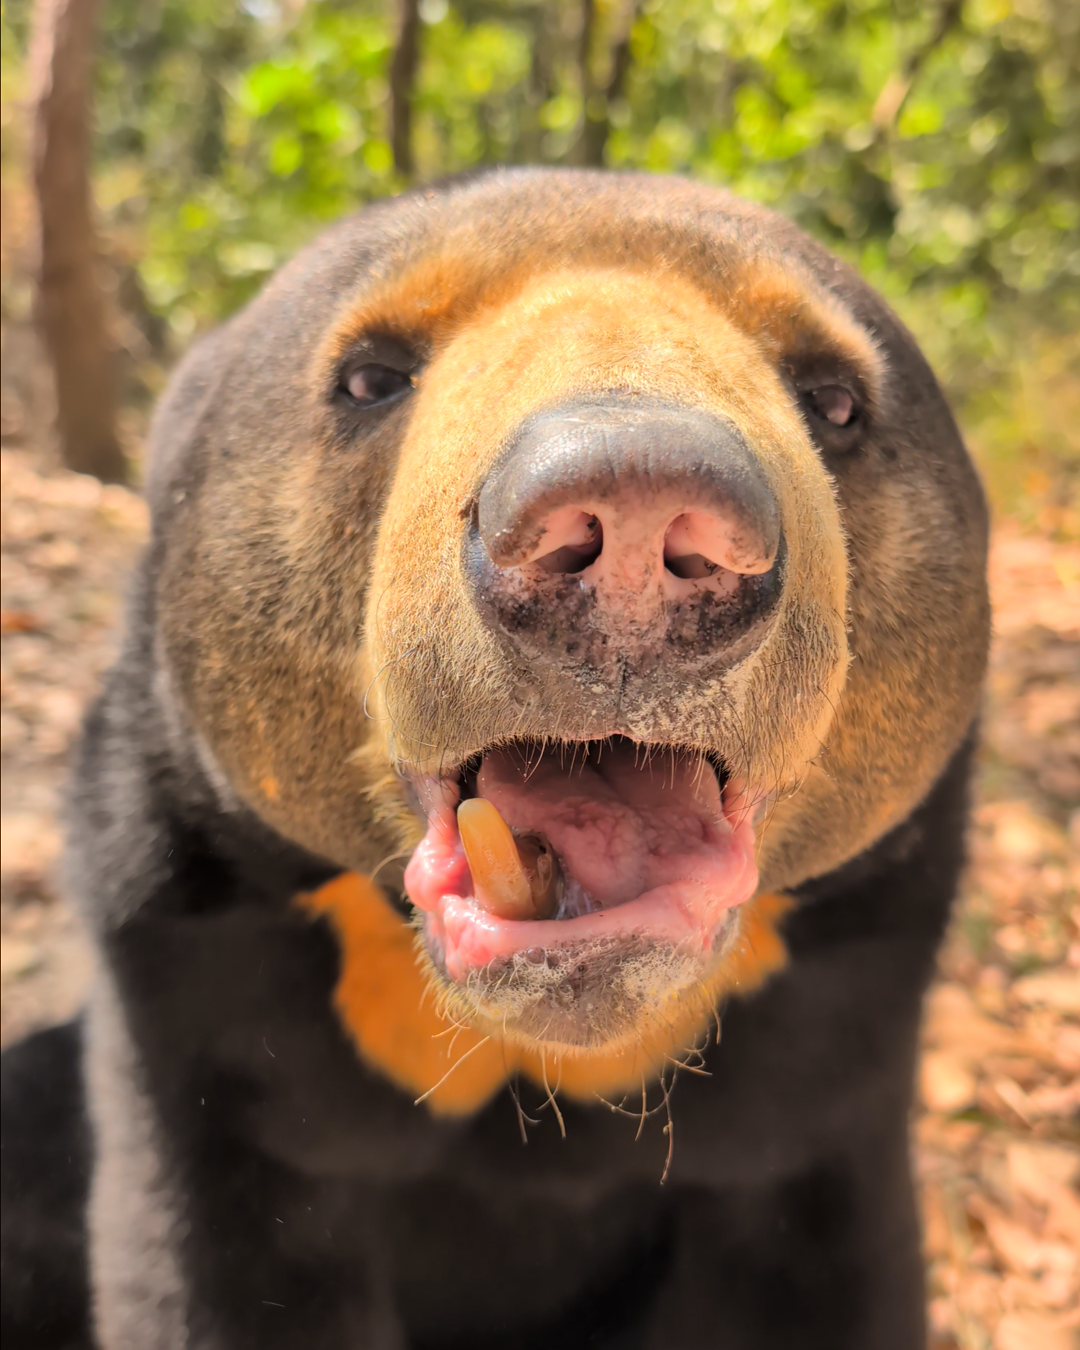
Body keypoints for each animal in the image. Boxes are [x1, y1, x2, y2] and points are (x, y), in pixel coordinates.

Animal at [1, 167, 990, 1350]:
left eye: (836, 400)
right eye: (371, 375)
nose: (634, 521)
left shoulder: (837, 1032)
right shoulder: (191, 970)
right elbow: (216, 1274)